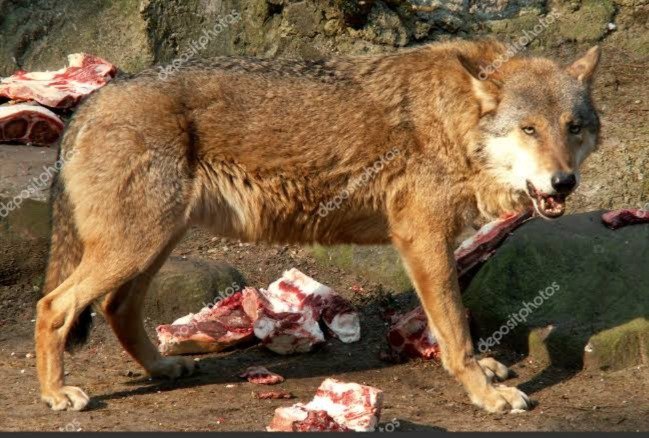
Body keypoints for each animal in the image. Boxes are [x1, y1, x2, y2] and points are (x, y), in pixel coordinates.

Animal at [36, 39, 601, 413]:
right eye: (528, 129)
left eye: (573, 127)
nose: (563, 181)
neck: (454, 121)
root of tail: (88, 105)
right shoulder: (422, 241)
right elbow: (457, 332)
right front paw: (486, 394)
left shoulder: (431, 245)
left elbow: (451, 329)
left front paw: (484, 372)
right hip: (135, 247)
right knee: (54, 307)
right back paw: (56, 394)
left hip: (152, 245)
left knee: (117, 308)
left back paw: (162, 369)